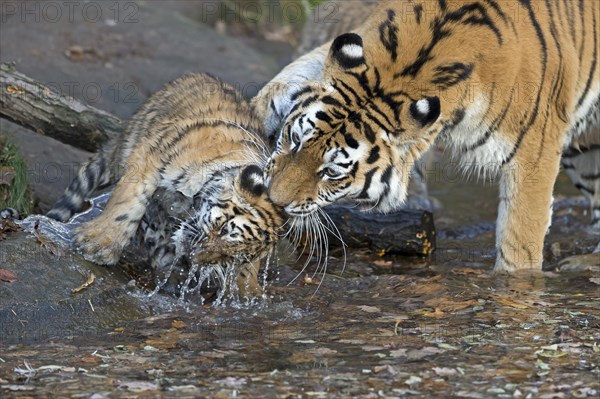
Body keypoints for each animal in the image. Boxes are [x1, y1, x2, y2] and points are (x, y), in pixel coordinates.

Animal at [47, 73, 286, 296]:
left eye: (230, 256)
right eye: (222, 229)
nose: (195, 256)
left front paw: (248, 289)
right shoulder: (150, 159)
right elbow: (128, 204)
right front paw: (99, 245)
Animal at [253, 0, 600, 274]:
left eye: (332, 172)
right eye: (294, 139)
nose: (274, 199)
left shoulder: (533, 154)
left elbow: (519, 242)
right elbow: (286, 79)